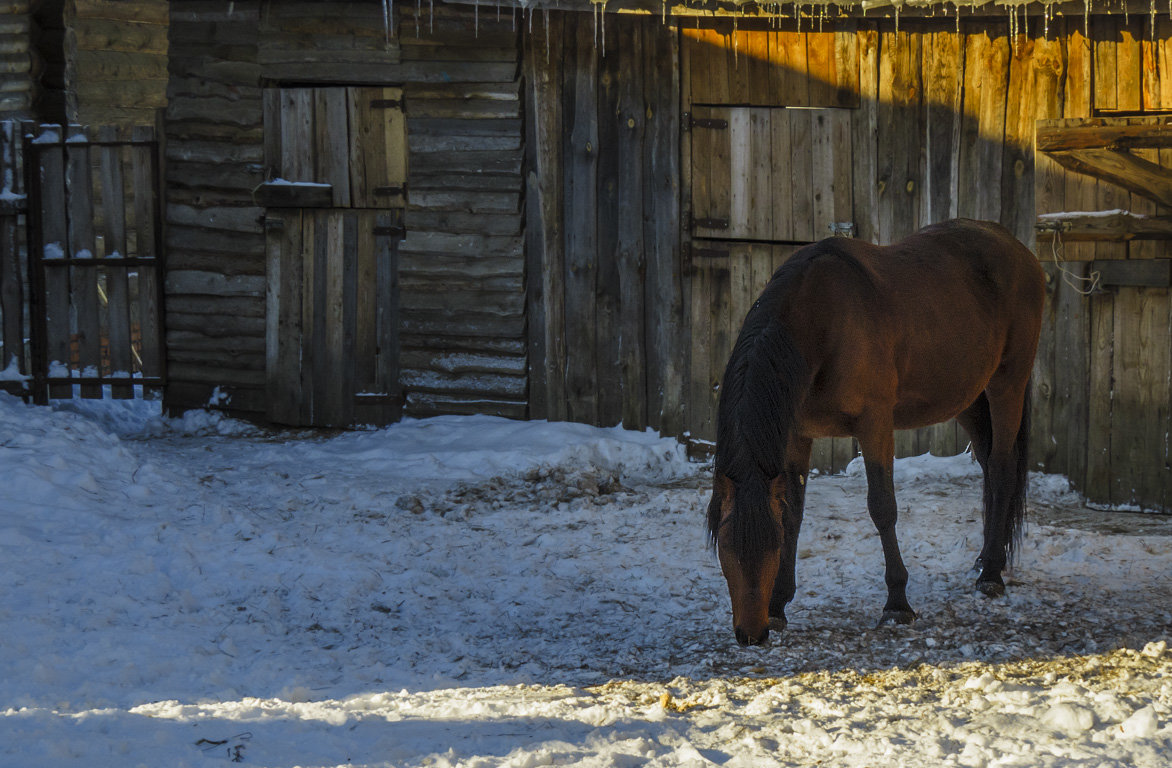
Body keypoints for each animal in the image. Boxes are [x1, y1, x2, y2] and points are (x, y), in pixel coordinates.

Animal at [703, 219, 1045, 647]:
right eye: (724, 544)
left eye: (772, 542)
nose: (751, 634)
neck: (822, 320)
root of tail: (1018, 249)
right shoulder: (797, 435)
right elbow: (794, 510)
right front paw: (780, 604)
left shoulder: (875, 424)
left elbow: (882, 507)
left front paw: (897, 604)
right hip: (968, 395)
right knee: (987, 463)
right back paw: (985, 557)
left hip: (1006, 383)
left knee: (1000, 468)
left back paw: (992, 575)